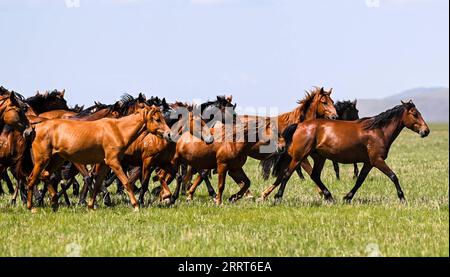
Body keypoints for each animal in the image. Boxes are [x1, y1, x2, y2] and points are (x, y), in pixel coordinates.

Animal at [25, 105, 172, 211]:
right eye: (157, 119)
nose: (169, 134)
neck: (118, 130)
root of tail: (35, 127)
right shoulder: (113, 162)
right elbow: (126, 182)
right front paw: (136, 206)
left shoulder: (105, 164)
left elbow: (97, 184)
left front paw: (91, 206)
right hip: (42, 159)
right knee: (31, 179)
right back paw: (32, 208)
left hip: (57, 159)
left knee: (45, 175)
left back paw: (54, 202)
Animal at [262, 100, 430, 202]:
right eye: (414, 114)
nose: (426, 131)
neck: (377, 130)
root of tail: (299, 125)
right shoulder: (377, 160)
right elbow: (393, 176)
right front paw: (402, 198)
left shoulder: (369, 162)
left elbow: (360, 180)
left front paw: (347, 197)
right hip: (299, 157)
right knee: (287, 174)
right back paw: (277, 197)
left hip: (319, 158)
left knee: (314, 175)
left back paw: (330, 196)